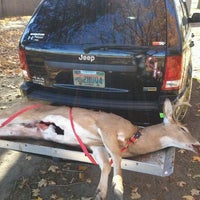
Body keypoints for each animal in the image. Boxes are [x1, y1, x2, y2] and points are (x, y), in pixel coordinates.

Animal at [0, 99, 199, 200]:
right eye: (183, 128)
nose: (197, 143)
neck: (133, 136)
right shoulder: (106, 127)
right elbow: (116, 158)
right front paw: (118, 188)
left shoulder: (97, 145)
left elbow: (106, 164)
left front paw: (100, 192)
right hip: (17, 115)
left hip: (18, 130)